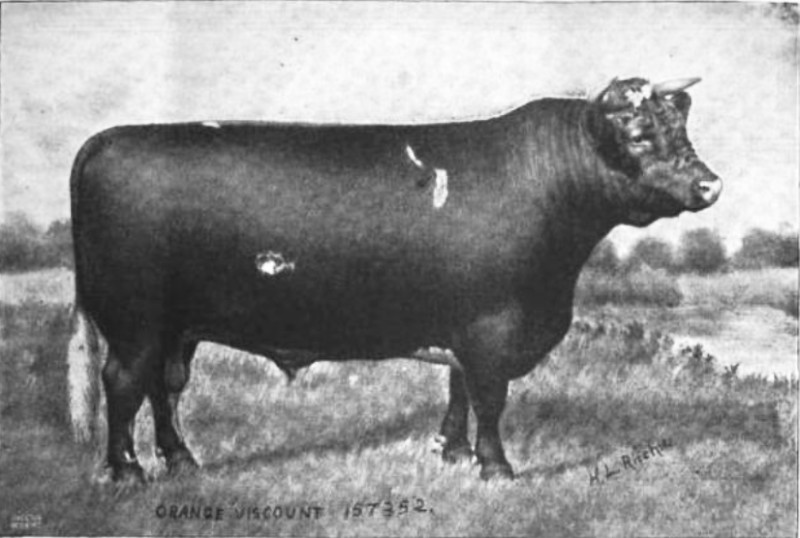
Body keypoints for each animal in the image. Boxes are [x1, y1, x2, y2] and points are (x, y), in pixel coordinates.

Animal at [67, 77, 721, 483]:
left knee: (164, 388)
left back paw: (182, 461)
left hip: (175, 326)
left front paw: (452, 453)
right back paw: (126, 471)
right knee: (123, 383)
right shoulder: (493, 328)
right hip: (135, 318)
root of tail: (110, 138)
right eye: (638, 134)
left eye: (681, 130)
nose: (710, 184)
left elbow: (459, 392)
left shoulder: (464, 324)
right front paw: (496, 468)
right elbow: (490, 399)